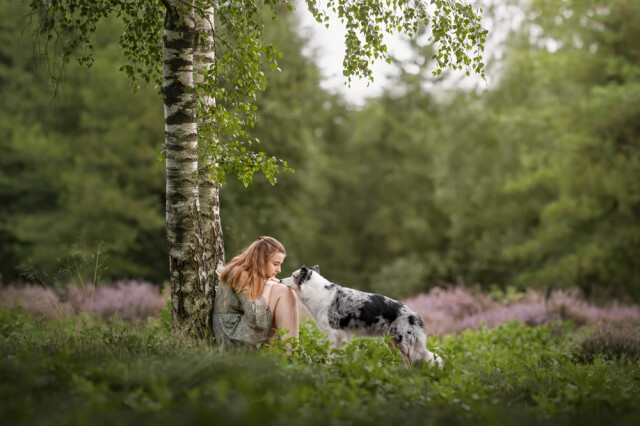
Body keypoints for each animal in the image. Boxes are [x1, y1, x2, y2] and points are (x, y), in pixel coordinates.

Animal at [282, 264, 442, 368]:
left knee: (414, 361)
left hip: (403, 343)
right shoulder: (343, 335)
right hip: (392, 343)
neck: (316, 291)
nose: (280, 280)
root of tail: (415, 315)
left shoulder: (335, 333)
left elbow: (331, 354)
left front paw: (327, 368)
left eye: (293, 275)